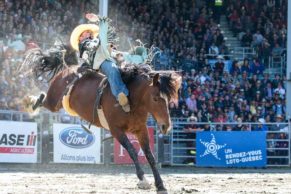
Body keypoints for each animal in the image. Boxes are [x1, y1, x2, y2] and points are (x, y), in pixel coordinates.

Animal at [22, 44, 182, 193]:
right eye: (155, 98)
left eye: (169, 99)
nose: (166, 126)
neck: (130, 99)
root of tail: (68, 68)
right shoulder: (116, 130)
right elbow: (132, 151)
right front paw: (143, 180)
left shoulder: (141, 129)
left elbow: (150, 156)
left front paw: (160, 185)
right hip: (53, 101)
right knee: (42, 100)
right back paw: (30, 103)